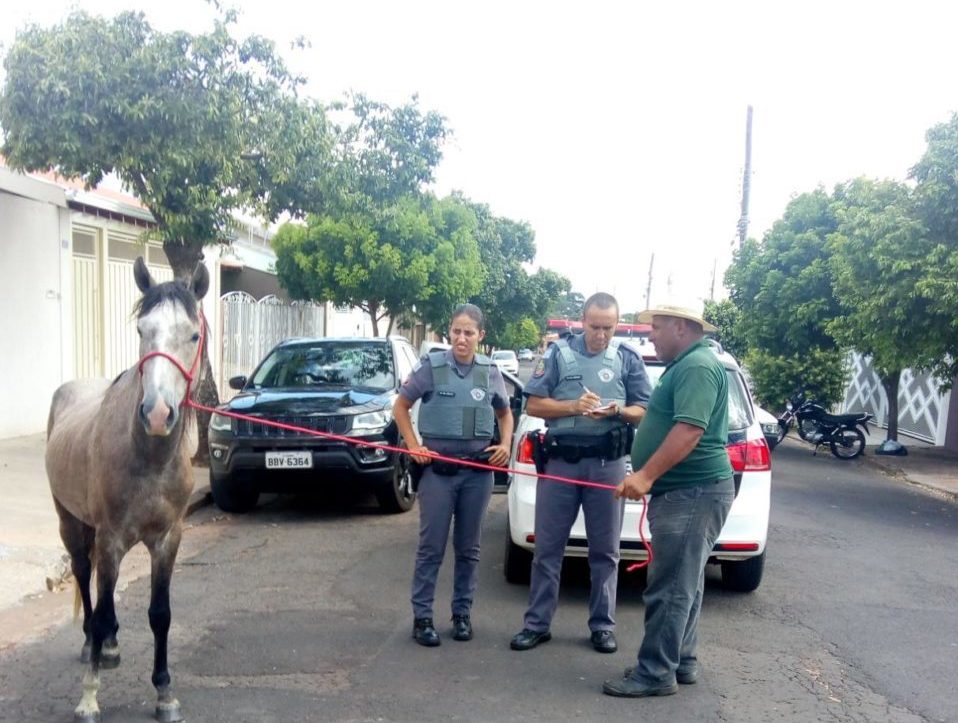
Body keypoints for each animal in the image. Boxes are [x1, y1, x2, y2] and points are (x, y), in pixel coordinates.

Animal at [46, 258, 208, 720]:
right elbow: (100, 610)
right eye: (141, 330)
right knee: (84, 575)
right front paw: (89, 696)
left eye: (193, 334)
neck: (147, 458)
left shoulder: (168, 539)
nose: (156, 414)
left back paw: (112, 646)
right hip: (71, 522)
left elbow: (160, 614)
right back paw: (93, 645)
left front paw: (165, 693)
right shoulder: (111, 538)